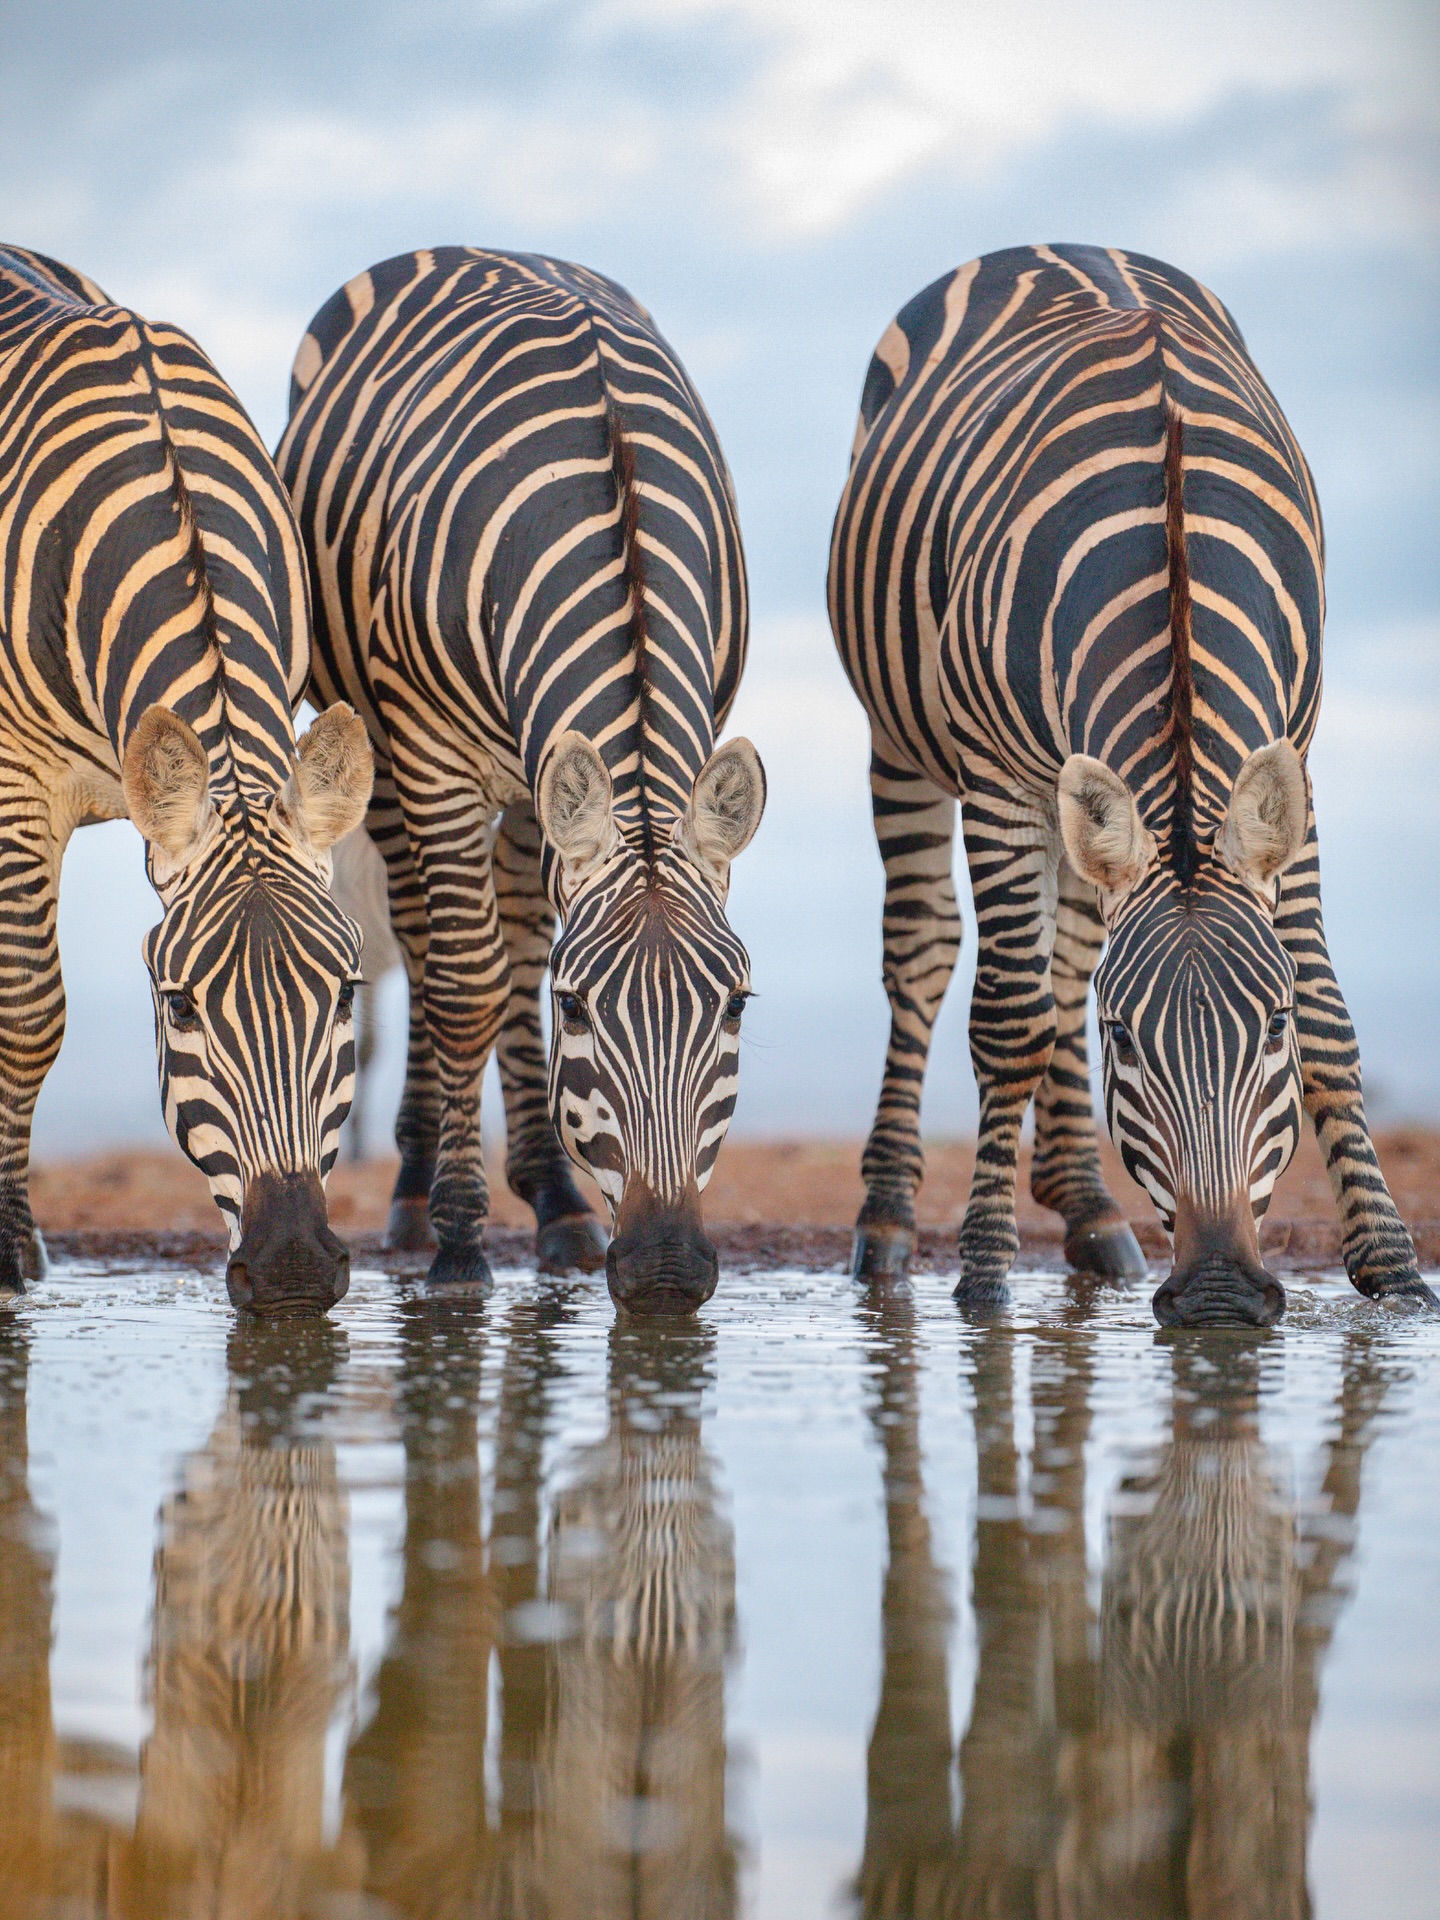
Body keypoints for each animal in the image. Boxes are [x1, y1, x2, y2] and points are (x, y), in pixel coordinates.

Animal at [0, 245, 373, 1312]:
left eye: (346, 997)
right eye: (180, 1009)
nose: (292, 1270)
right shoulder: (19, 783)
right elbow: (27, 1015)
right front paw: (9, 1258)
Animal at [277, 249, 765, 1312]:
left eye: (737, 1006)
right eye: (578, 1009)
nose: (667, 1271)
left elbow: (520, 968)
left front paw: (556, 1208)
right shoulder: (433, 753)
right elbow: (467, 986)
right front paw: (462, 1242)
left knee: (511, 939)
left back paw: (551, 1196)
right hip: (385, 758)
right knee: (429, 946)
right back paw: (417, 1194)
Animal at [830, 243, 1435, 1325]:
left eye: (1271, 1025)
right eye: (1126, 1040)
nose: (1220, 1299)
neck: (1170, 535)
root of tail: (1044, 244)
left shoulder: (1293, 758)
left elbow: (1333, 1015)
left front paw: (1396, 1270)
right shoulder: (996, 780)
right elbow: (1010, 1021)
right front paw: (984, 1278)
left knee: (1070, 955)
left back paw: (1088, 1211)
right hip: (899, 740)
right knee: (925, 956)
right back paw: (888, 1225)